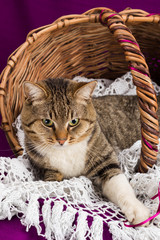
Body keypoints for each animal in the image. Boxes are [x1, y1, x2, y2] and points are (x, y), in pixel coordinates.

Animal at [20, 78, 158, 226]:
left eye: (74, 121)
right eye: (47, 121)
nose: (61, 140)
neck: (66, 152)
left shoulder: (104, 161)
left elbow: (120, 186)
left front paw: (138, 212)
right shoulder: (45, 169)